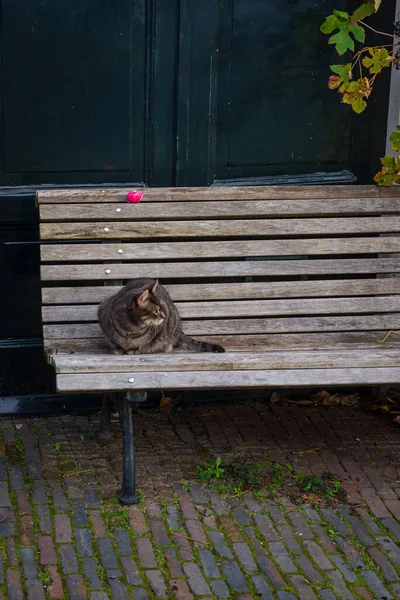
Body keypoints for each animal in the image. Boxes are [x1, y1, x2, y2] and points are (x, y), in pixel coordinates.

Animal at [97, 278, 225, 354]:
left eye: (161, 307)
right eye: (155, 311)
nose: (164, 317)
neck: (131, 329)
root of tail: (179, 332)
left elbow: (142, 343)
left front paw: (134, 349)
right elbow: (113, 340)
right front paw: (117, 348)